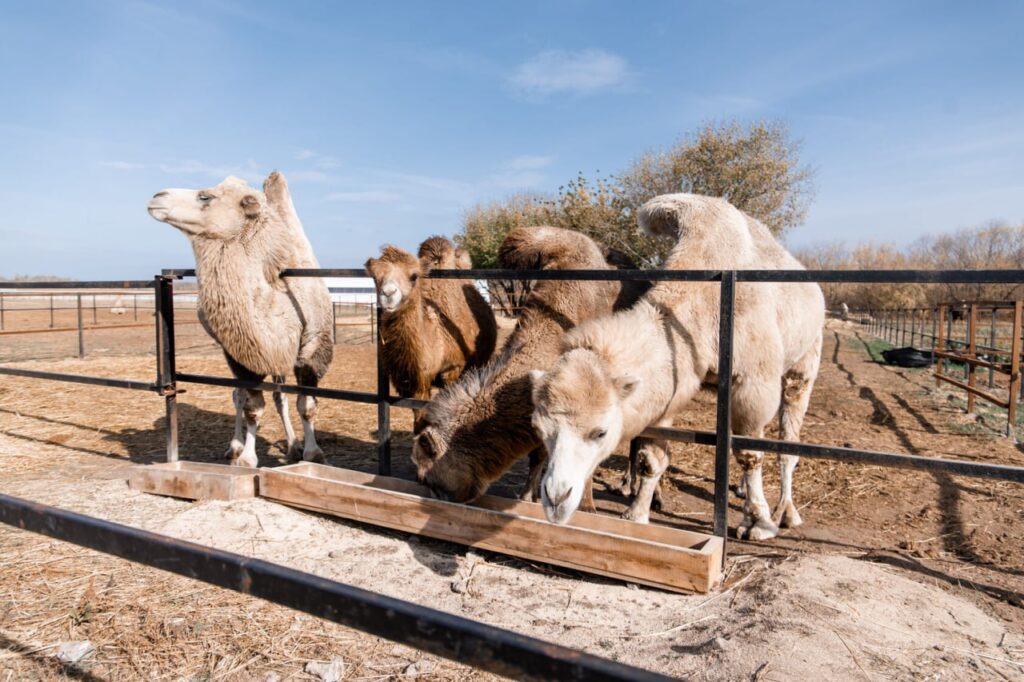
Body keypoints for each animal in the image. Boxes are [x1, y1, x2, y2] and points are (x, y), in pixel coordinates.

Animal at [146, 173, 331, 464]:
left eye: (205, 196)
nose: (157, 197)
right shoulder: (242, 353)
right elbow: (253, 407)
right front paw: (246, 458)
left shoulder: (312, 349)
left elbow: (307, 405)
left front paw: (312, 453)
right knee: (239, 395)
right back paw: (235, 446)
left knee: (279, 397)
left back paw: (292, 446)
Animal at [366, 233, 497, 428]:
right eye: (375, 277)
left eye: (413, 276)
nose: (388, 294)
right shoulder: (415, 382)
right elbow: (419, 417)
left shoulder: (453, 369)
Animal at [528, 193, 823, 540]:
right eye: (540, 429)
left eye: (600, 432)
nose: (555, 498)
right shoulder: (671, 384)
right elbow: (652, 458)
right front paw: (637, 515)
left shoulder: (755, 380)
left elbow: (750, 454)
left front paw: (759, 523)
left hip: (806, 361)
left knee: (787, 441)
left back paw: (785, 513)